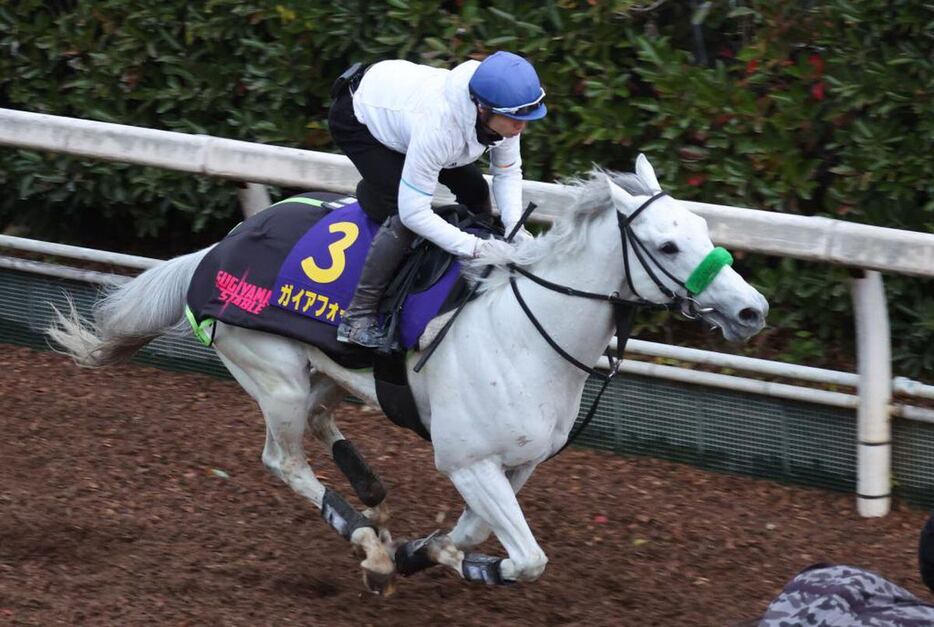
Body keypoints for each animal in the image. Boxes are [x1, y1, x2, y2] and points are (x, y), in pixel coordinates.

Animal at [47, 156, 772, 592]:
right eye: (668, 245)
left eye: (703, 227)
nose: (751, 309)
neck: (525, 333)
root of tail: (216, 250)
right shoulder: (469, 460)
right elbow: (527, 558)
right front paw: (425, 559)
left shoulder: (518, 463)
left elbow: (477, 532)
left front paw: (424, 551)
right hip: (272, 373)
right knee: (283, 458)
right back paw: (365, 538)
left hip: (326, 370)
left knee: (322, 413)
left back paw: (369, 489)